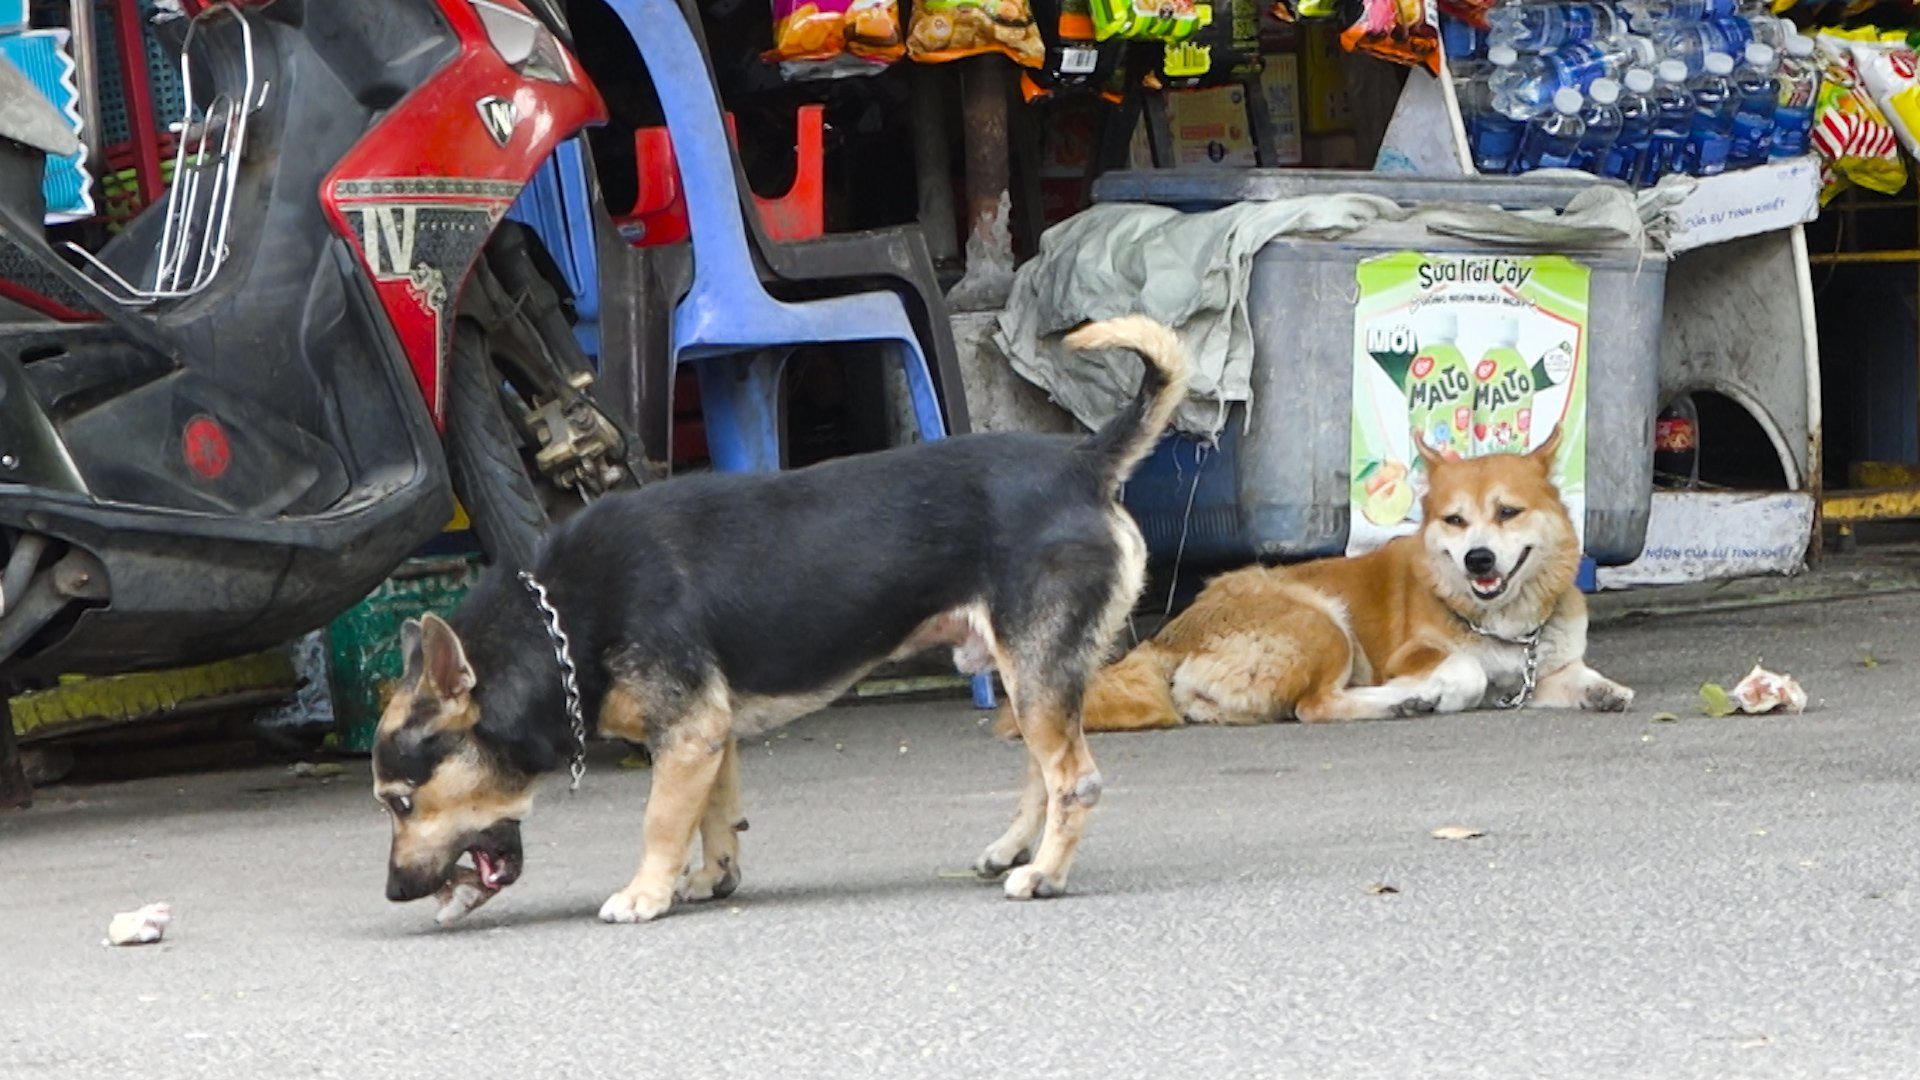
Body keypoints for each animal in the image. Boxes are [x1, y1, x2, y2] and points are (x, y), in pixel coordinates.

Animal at [372, 315, 1190, 924]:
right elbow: (711, 815)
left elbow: (661, 820)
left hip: (1037, 670)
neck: (562, 623)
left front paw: (644, 893)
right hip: (1027, 675)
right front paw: (710, 878)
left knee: (1074, 780)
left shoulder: (687, 734)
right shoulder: (707, 737)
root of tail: (1083, 462)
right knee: (1041, 774)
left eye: (402, 802)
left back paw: (1045, 874)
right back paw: (1013, 851)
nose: (394, 892)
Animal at [1078, 428, 1633, 732]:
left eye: (1508, 512)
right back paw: (1400, 702)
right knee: (1314, 705)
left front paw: (1602, 690)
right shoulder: (1412, 655)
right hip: (1323, 624)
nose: (1478, 560)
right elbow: (1468, 670)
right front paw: (1439, 689)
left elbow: (1575, 676)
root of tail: (1171, 634)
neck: (1503, 623)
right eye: (1455, 520)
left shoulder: (1540, 675)